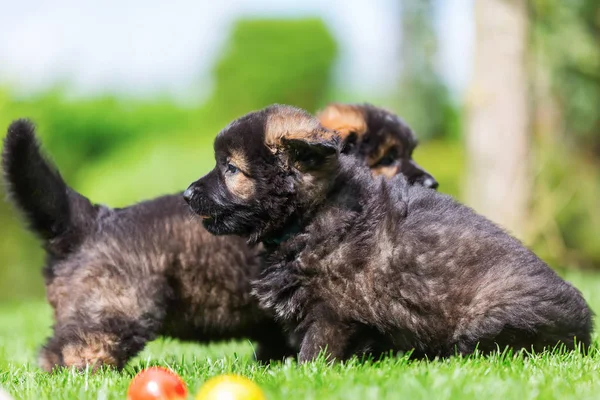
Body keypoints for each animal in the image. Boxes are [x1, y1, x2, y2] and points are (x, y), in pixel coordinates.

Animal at [185, 105, 592, 362]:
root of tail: (588, 328)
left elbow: (313, 354)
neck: (311, 217)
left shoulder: (334, 311)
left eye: (231, 169)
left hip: (491, 320)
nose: (187, 194)